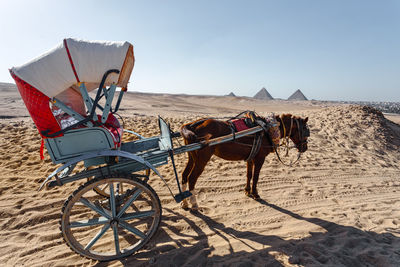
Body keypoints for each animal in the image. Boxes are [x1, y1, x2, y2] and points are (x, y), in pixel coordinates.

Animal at [180, 114, 310, 210]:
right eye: (305, 129)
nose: (305, 148)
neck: (268, 129)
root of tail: (191, 126)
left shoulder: (251, 158)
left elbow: (249, 175)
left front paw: (247, 191)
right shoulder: (260, 159)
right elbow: (256, 177)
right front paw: (255, 194)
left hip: (192, 157)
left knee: (184, 175)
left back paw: (185, 203)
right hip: (202, 159)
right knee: (192, 178)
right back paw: (194, 204)